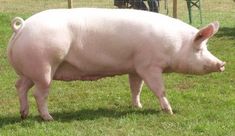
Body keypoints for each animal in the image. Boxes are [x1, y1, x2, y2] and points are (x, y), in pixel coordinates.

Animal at [6, 7, 225, 120]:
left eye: (206, 47)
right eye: (200, 49)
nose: (222, 63)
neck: (176, 45)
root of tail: (22, 27)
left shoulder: (135, 66)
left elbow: (136, 88)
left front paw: (138, 107)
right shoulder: (149, 65)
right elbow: (159, 89)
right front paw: (169, 112)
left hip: (30, 70)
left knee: (20, 86)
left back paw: (24, 114)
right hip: (44, 67)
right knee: (39, 93)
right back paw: (48, 118)